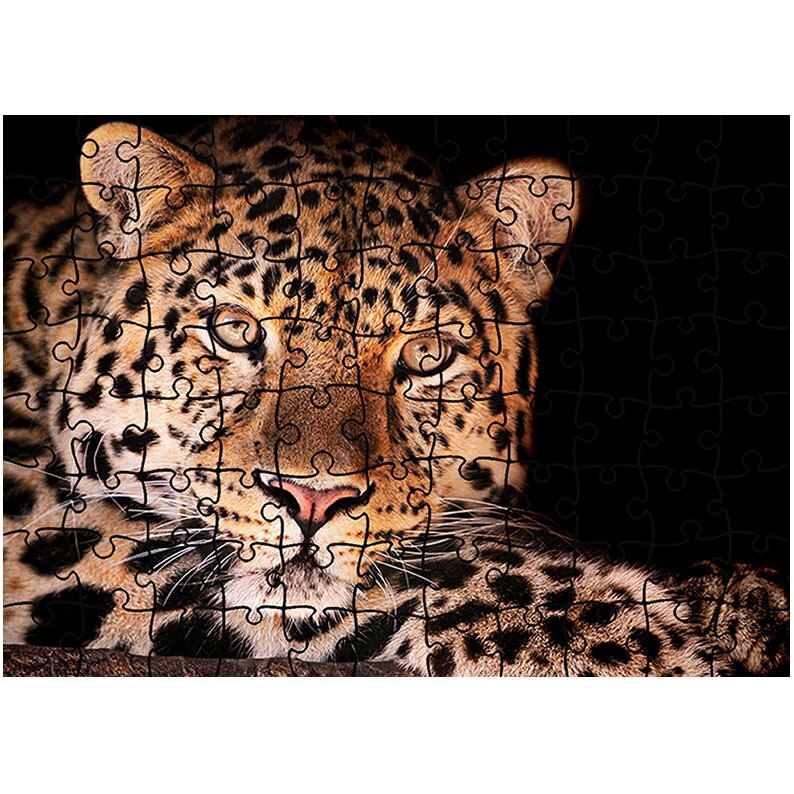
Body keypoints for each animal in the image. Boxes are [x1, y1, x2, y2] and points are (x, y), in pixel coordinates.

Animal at [3, 117, 788, 675]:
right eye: (233, 330)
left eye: (426, 356)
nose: (312, 500)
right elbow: (443, 568)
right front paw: (622, 637)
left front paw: (740, 604)